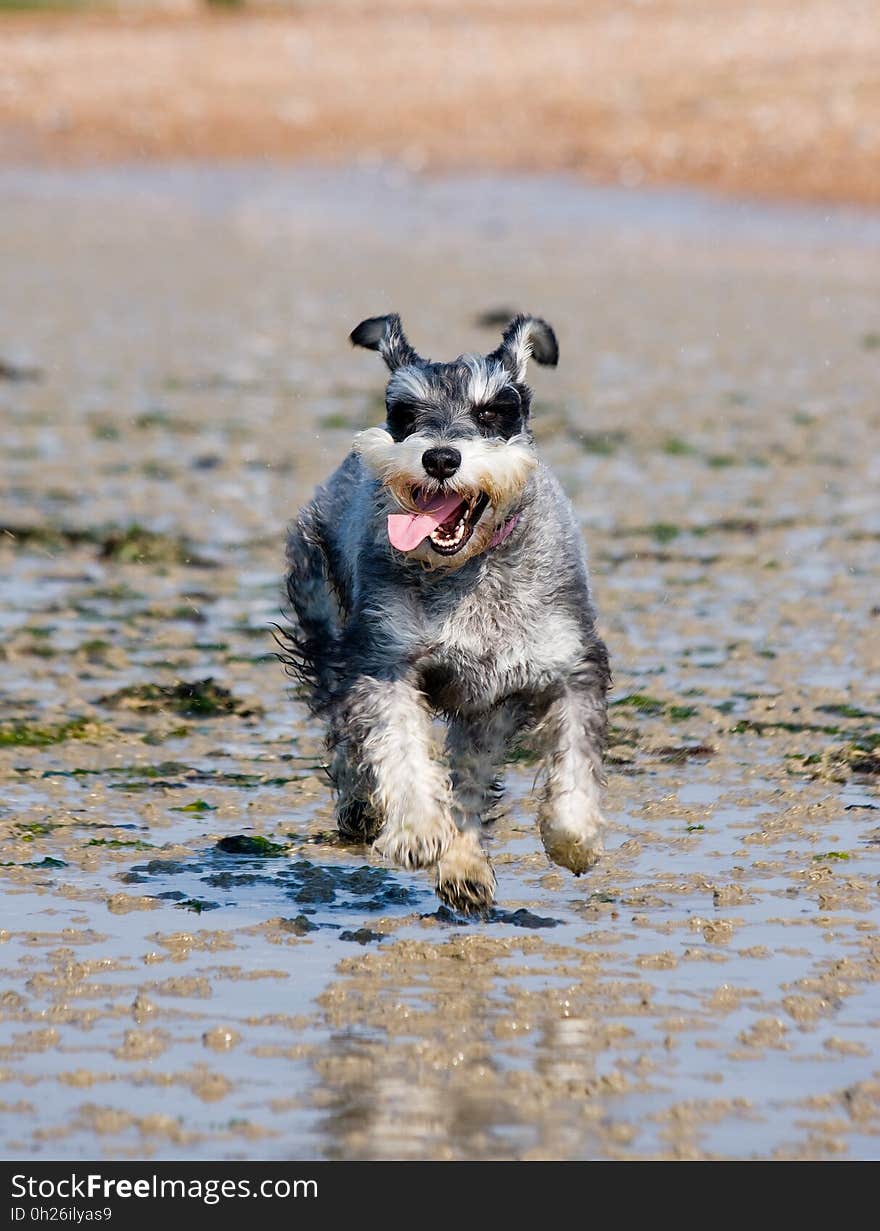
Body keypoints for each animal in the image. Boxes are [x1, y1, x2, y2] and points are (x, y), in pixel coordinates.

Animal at [284, 315, 612, 915]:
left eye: (493, 409)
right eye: (404, 412)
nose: (440, 458)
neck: (470, 571)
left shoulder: (570, 667)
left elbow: (573, 761)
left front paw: (573, 840)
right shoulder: (384, 661)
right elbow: (399, 749)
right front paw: (415, 832)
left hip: (486, 707)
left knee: (470, 780)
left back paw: (465, 868)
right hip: (325, 625)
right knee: (343, 727)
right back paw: (364, 809)